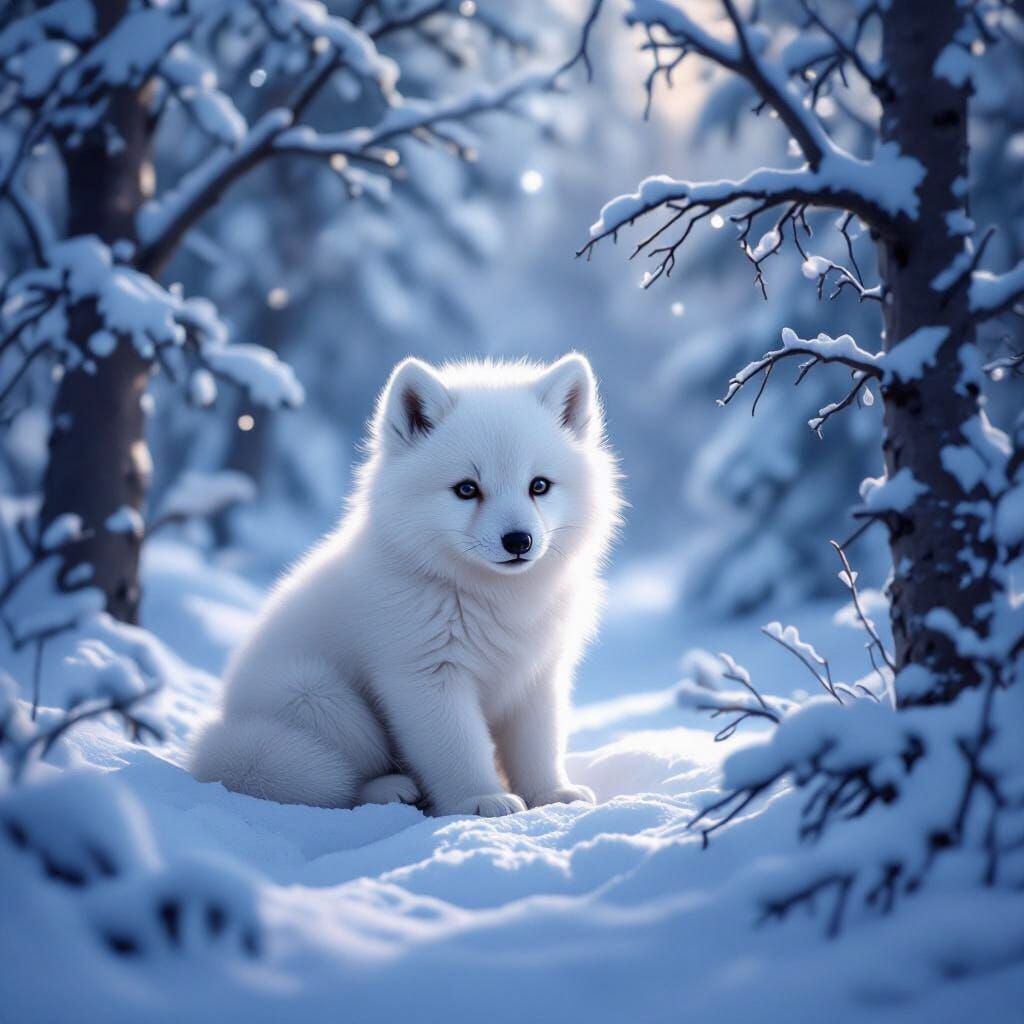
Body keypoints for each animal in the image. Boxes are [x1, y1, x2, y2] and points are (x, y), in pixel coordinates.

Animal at [191, 353, 621, 817]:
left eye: (539, 485)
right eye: (467, 489)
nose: (519, 541)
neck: (492, 598)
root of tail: (223, 731)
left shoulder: (538, 676)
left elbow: (538, 747)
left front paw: (551, 795)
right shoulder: (427, 678)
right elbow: (458, 749)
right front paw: (480, 799)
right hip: (320, 698)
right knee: (342, 783)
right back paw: (391, 790)